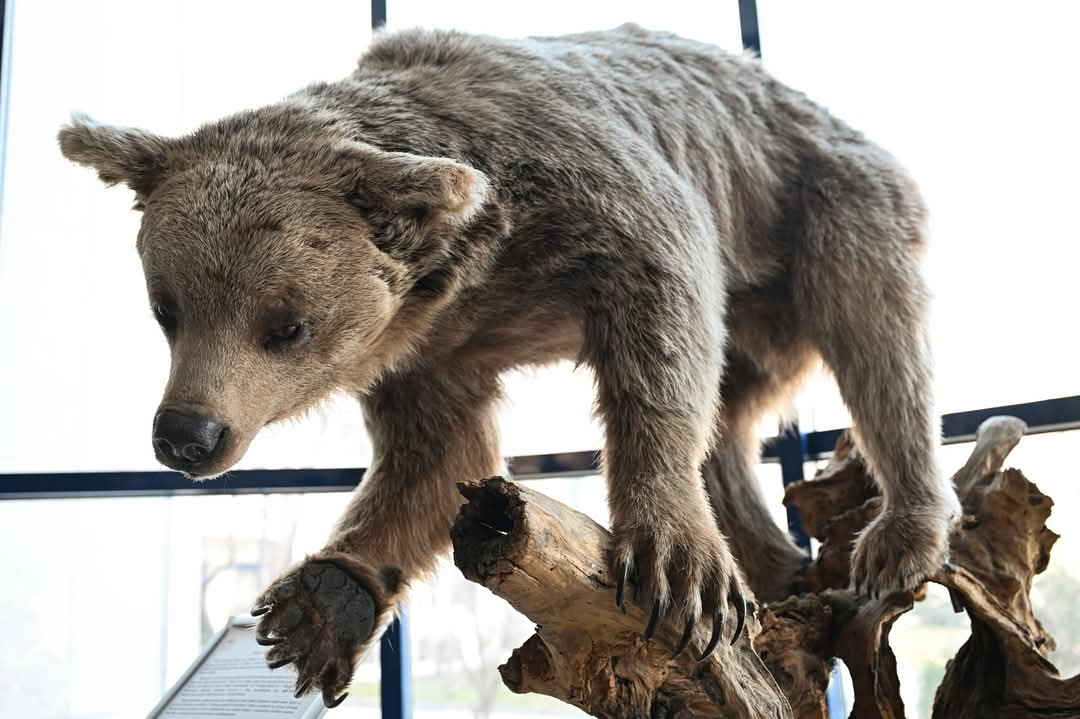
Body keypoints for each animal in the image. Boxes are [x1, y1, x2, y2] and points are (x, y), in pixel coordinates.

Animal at [61, 22, 963, 703]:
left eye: (284, 325)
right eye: (166, 307)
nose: (187, 434)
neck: (481, 270)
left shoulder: (598, 196)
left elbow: (663, 326)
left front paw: (677, 563)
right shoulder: (424, 349)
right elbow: (439, 457)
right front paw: (321, 605)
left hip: (820, 208)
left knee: (878, 341)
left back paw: (892, 536)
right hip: (764, 321)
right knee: (733, 420)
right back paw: (780, 571)